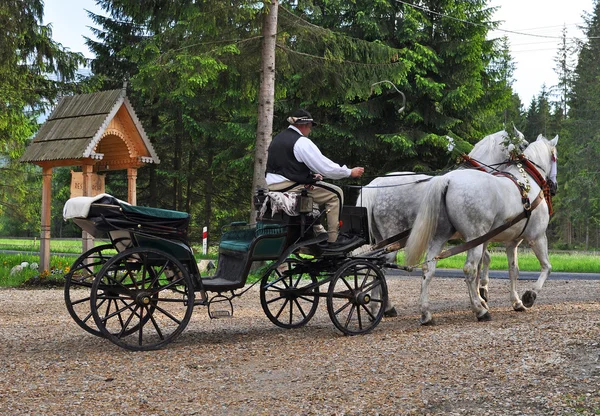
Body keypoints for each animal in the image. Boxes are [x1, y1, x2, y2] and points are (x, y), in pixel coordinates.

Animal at [358, 128, 528, 314]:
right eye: (523, 145)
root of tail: (375, 184)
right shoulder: (477, 235)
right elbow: (482, 261)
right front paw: (481, 296)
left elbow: (485, 260)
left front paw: (481, 294)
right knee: (380, 267)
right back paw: (382, 307)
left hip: (382, 239)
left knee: (376, 266)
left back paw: (381, 306)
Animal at [404, 135, 556, 324]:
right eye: (555, 157)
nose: (554, 185)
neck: (527, 183)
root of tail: (448, 180)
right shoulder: (537, 237)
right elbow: (546, 266)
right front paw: (529, 295)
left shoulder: (511, 242)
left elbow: (513, 270)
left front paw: (515, 302)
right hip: (474, 237)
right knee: (469, 269)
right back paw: (480, 311)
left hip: (441, 236)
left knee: (428, 268)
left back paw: (426, 313)